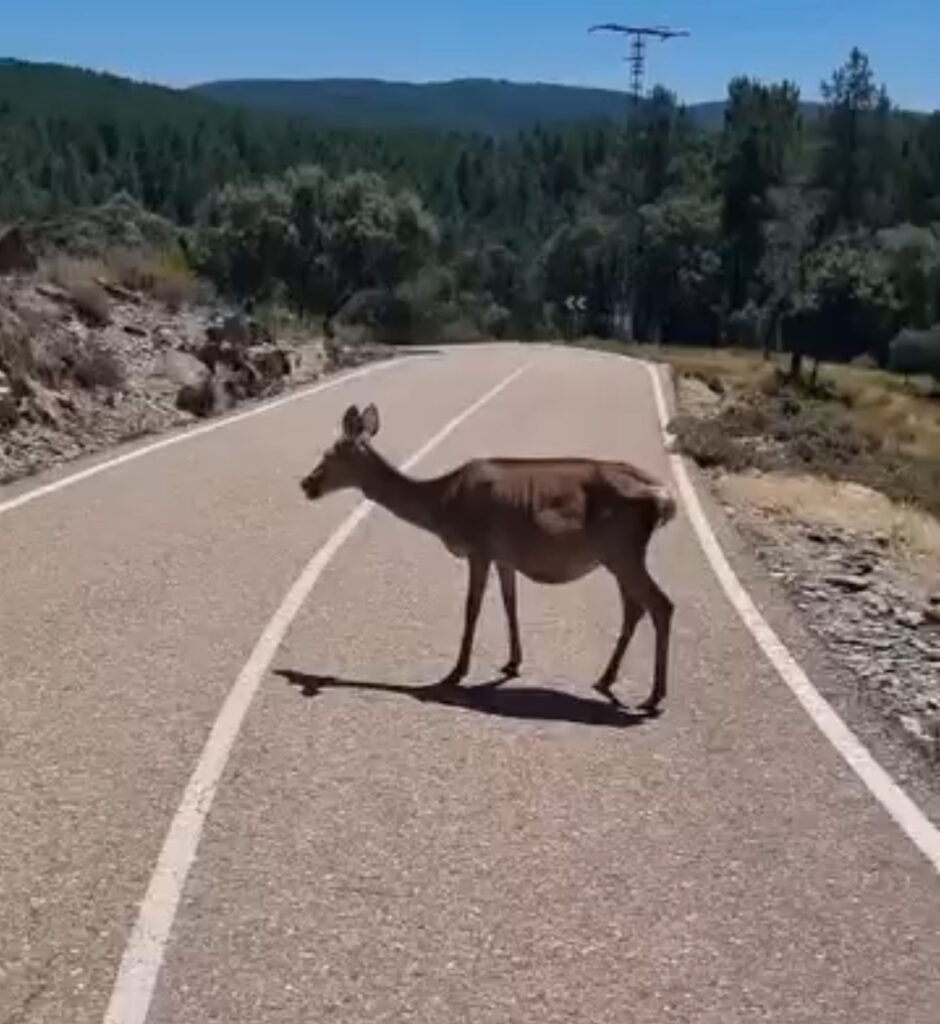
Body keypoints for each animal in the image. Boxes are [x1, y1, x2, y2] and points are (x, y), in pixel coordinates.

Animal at [300, 403, 677, 713]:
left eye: (331, 454)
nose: (306, 484)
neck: (442, 505)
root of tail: (663, 497)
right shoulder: (504, 555)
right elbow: (510, 603)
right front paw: (513, 662)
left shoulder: (478, 547)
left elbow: (472, 607)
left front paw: (456, 672)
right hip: (618, 556)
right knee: (635, 608)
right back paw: (606, 679)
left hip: (622, 549)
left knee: (661, 604)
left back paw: (653, 696)